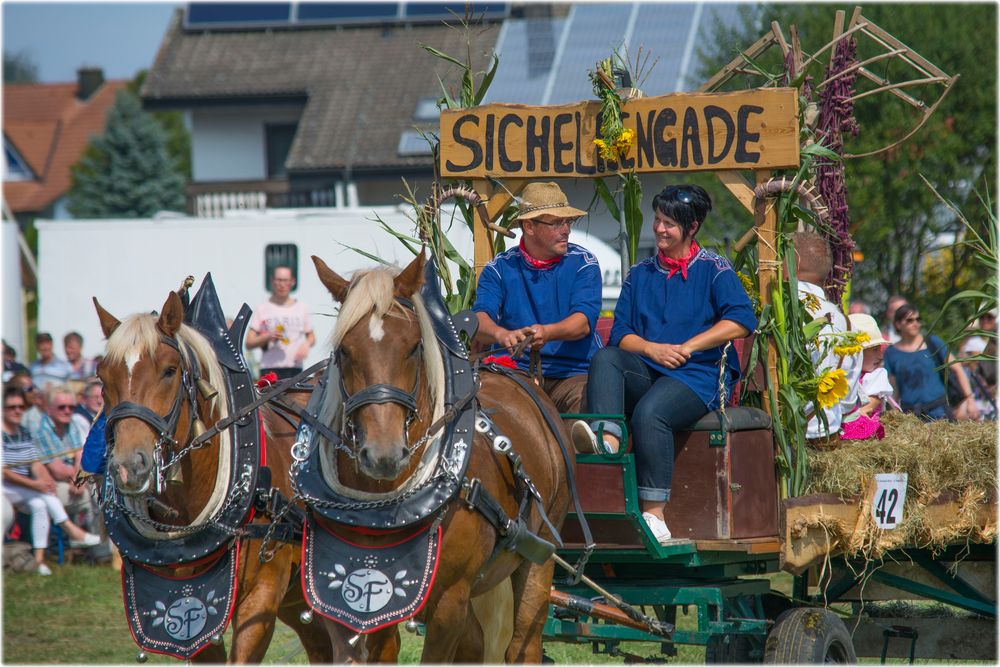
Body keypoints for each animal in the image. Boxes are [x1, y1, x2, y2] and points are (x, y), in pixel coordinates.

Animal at [302, 252, 572, 664]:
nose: (383, 454)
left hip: (539, 555)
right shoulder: (342, 604)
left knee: (524, 641)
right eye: (344, 350)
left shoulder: (449, 604)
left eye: (414, 347)